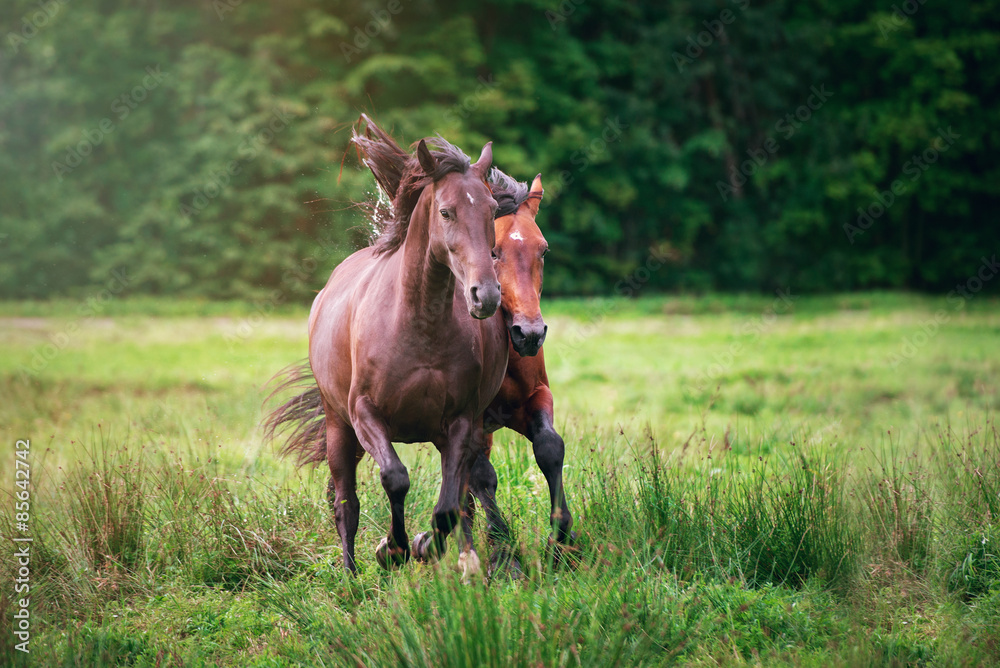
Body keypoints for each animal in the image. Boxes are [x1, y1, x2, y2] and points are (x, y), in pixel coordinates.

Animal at [265, 121, 508, 573]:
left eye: (490, 210)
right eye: (446, 211)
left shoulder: (460, 423)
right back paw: (349, 574)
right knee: (345, 501)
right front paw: (392, 549)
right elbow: (395, 478)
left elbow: (447, 508)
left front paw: (423, 545)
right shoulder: (365, 415)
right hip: (338, 427)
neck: (418, 326)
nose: (485, 295)